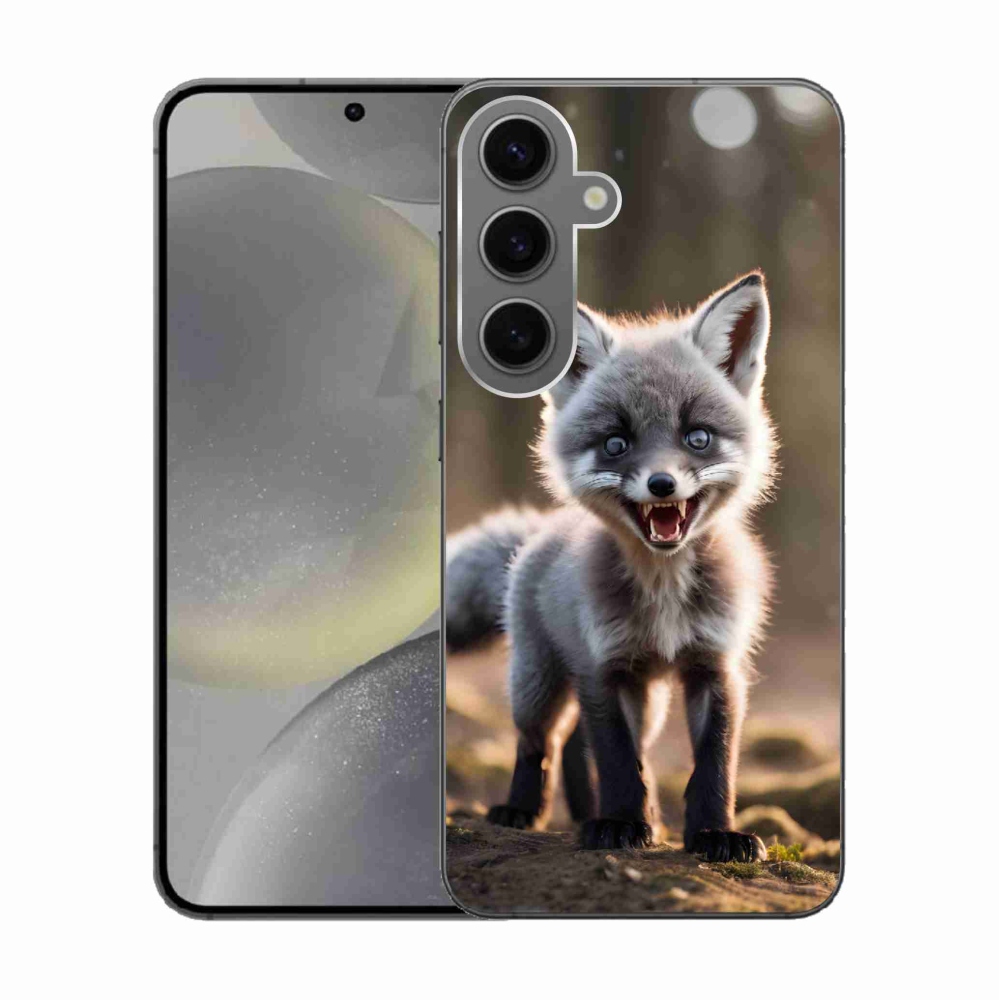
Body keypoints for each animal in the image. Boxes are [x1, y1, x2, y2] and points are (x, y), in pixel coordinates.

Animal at [446, 272, 778, 861]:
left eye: (697, 437)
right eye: (616, 443)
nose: (662, 484)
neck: (664, 591)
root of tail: (540, 531)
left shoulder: (716, 667)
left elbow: (713, 765)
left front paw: (715, 834)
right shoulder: (603, 666)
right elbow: (620, 762)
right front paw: (622, 823)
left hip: (647, 700)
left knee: (578, 742)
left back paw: (591, 813)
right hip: (538, 682)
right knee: (541, 741)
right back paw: (523, 810)